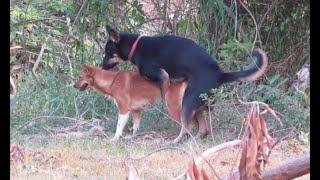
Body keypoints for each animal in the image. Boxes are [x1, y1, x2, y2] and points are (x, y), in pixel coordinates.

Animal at [74, 65, 210, 142]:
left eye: (80, 77)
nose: (74, 86)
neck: (112, 81)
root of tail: (185, 80)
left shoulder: (124, 110)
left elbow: (118, 127)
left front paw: (114, 139)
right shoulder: (136, 111)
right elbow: (135, 127)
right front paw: (133, 138)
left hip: (174, 108)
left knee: (187, 127)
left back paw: (176, 141)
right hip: (195, 111)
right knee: (203, 128)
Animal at [100, 25, 268, 143]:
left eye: (108, 53)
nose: (101, 66)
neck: (136, 46)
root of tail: (220, 75)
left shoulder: (163, 76)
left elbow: (162, 92)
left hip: (188, 101)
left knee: (187, 127)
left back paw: (176, 140)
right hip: (196, 104)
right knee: (202, 129)